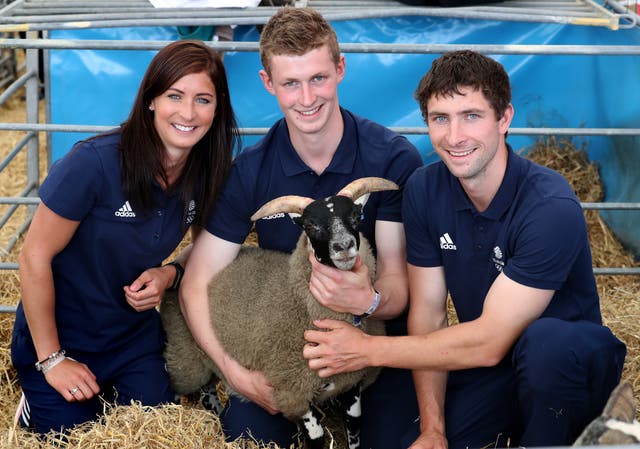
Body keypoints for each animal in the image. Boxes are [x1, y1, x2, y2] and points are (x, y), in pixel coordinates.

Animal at [159, 177, 398, 448]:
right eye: (311, 225)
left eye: (356, 215)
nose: (343, 246)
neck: (301, 304)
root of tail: (183, 261)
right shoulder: (292, 392)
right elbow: (316, 439)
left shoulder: (350, 382)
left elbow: (355, 428)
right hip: (186, 355)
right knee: (191, 385)